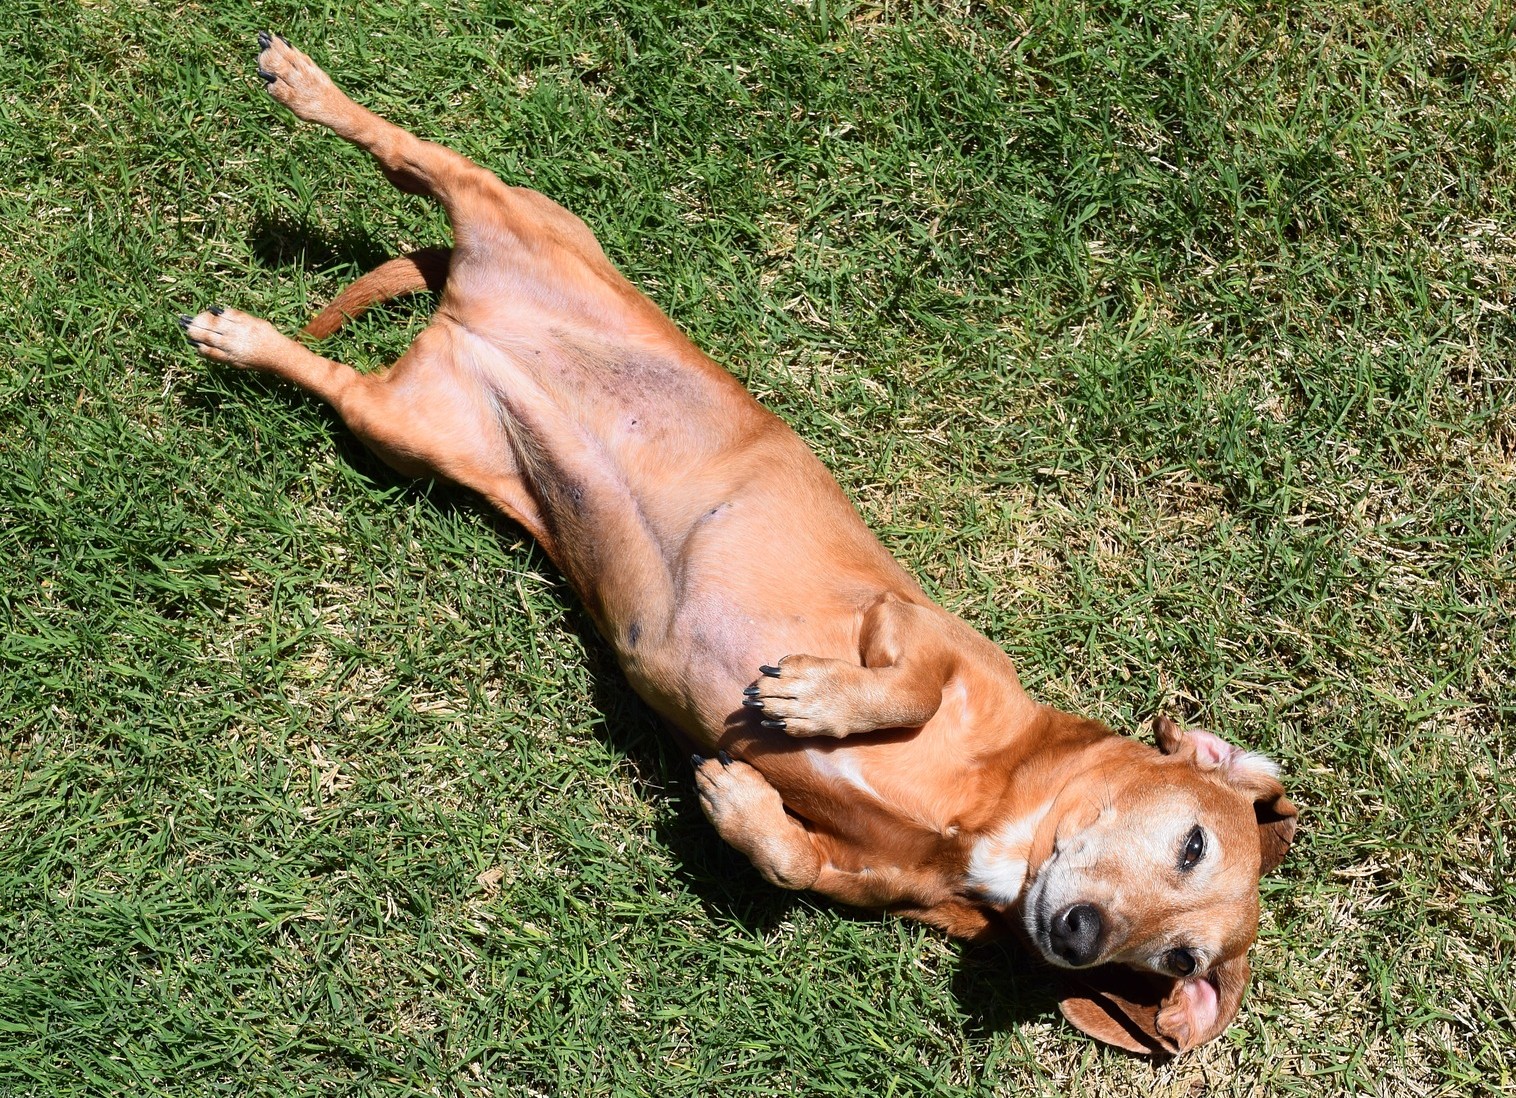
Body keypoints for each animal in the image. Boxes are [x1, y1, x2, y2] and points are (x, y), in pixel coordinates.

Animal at [183, 36, 1297, 1055]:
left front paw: (739, 802)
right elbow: (910, 686)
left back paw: (247, 336)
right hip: (509, 211)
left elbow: (792, 865)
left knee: (330, 378)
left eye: (1179, 959)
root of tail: (463, 315)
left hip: (405, 431)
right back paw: (305, 90)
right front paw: (813, 702)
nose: (1076, 935)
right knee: (410, 152)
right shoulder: (920, 624)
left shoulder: (862, 878)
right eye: (1192, 843)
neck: (999, 816)